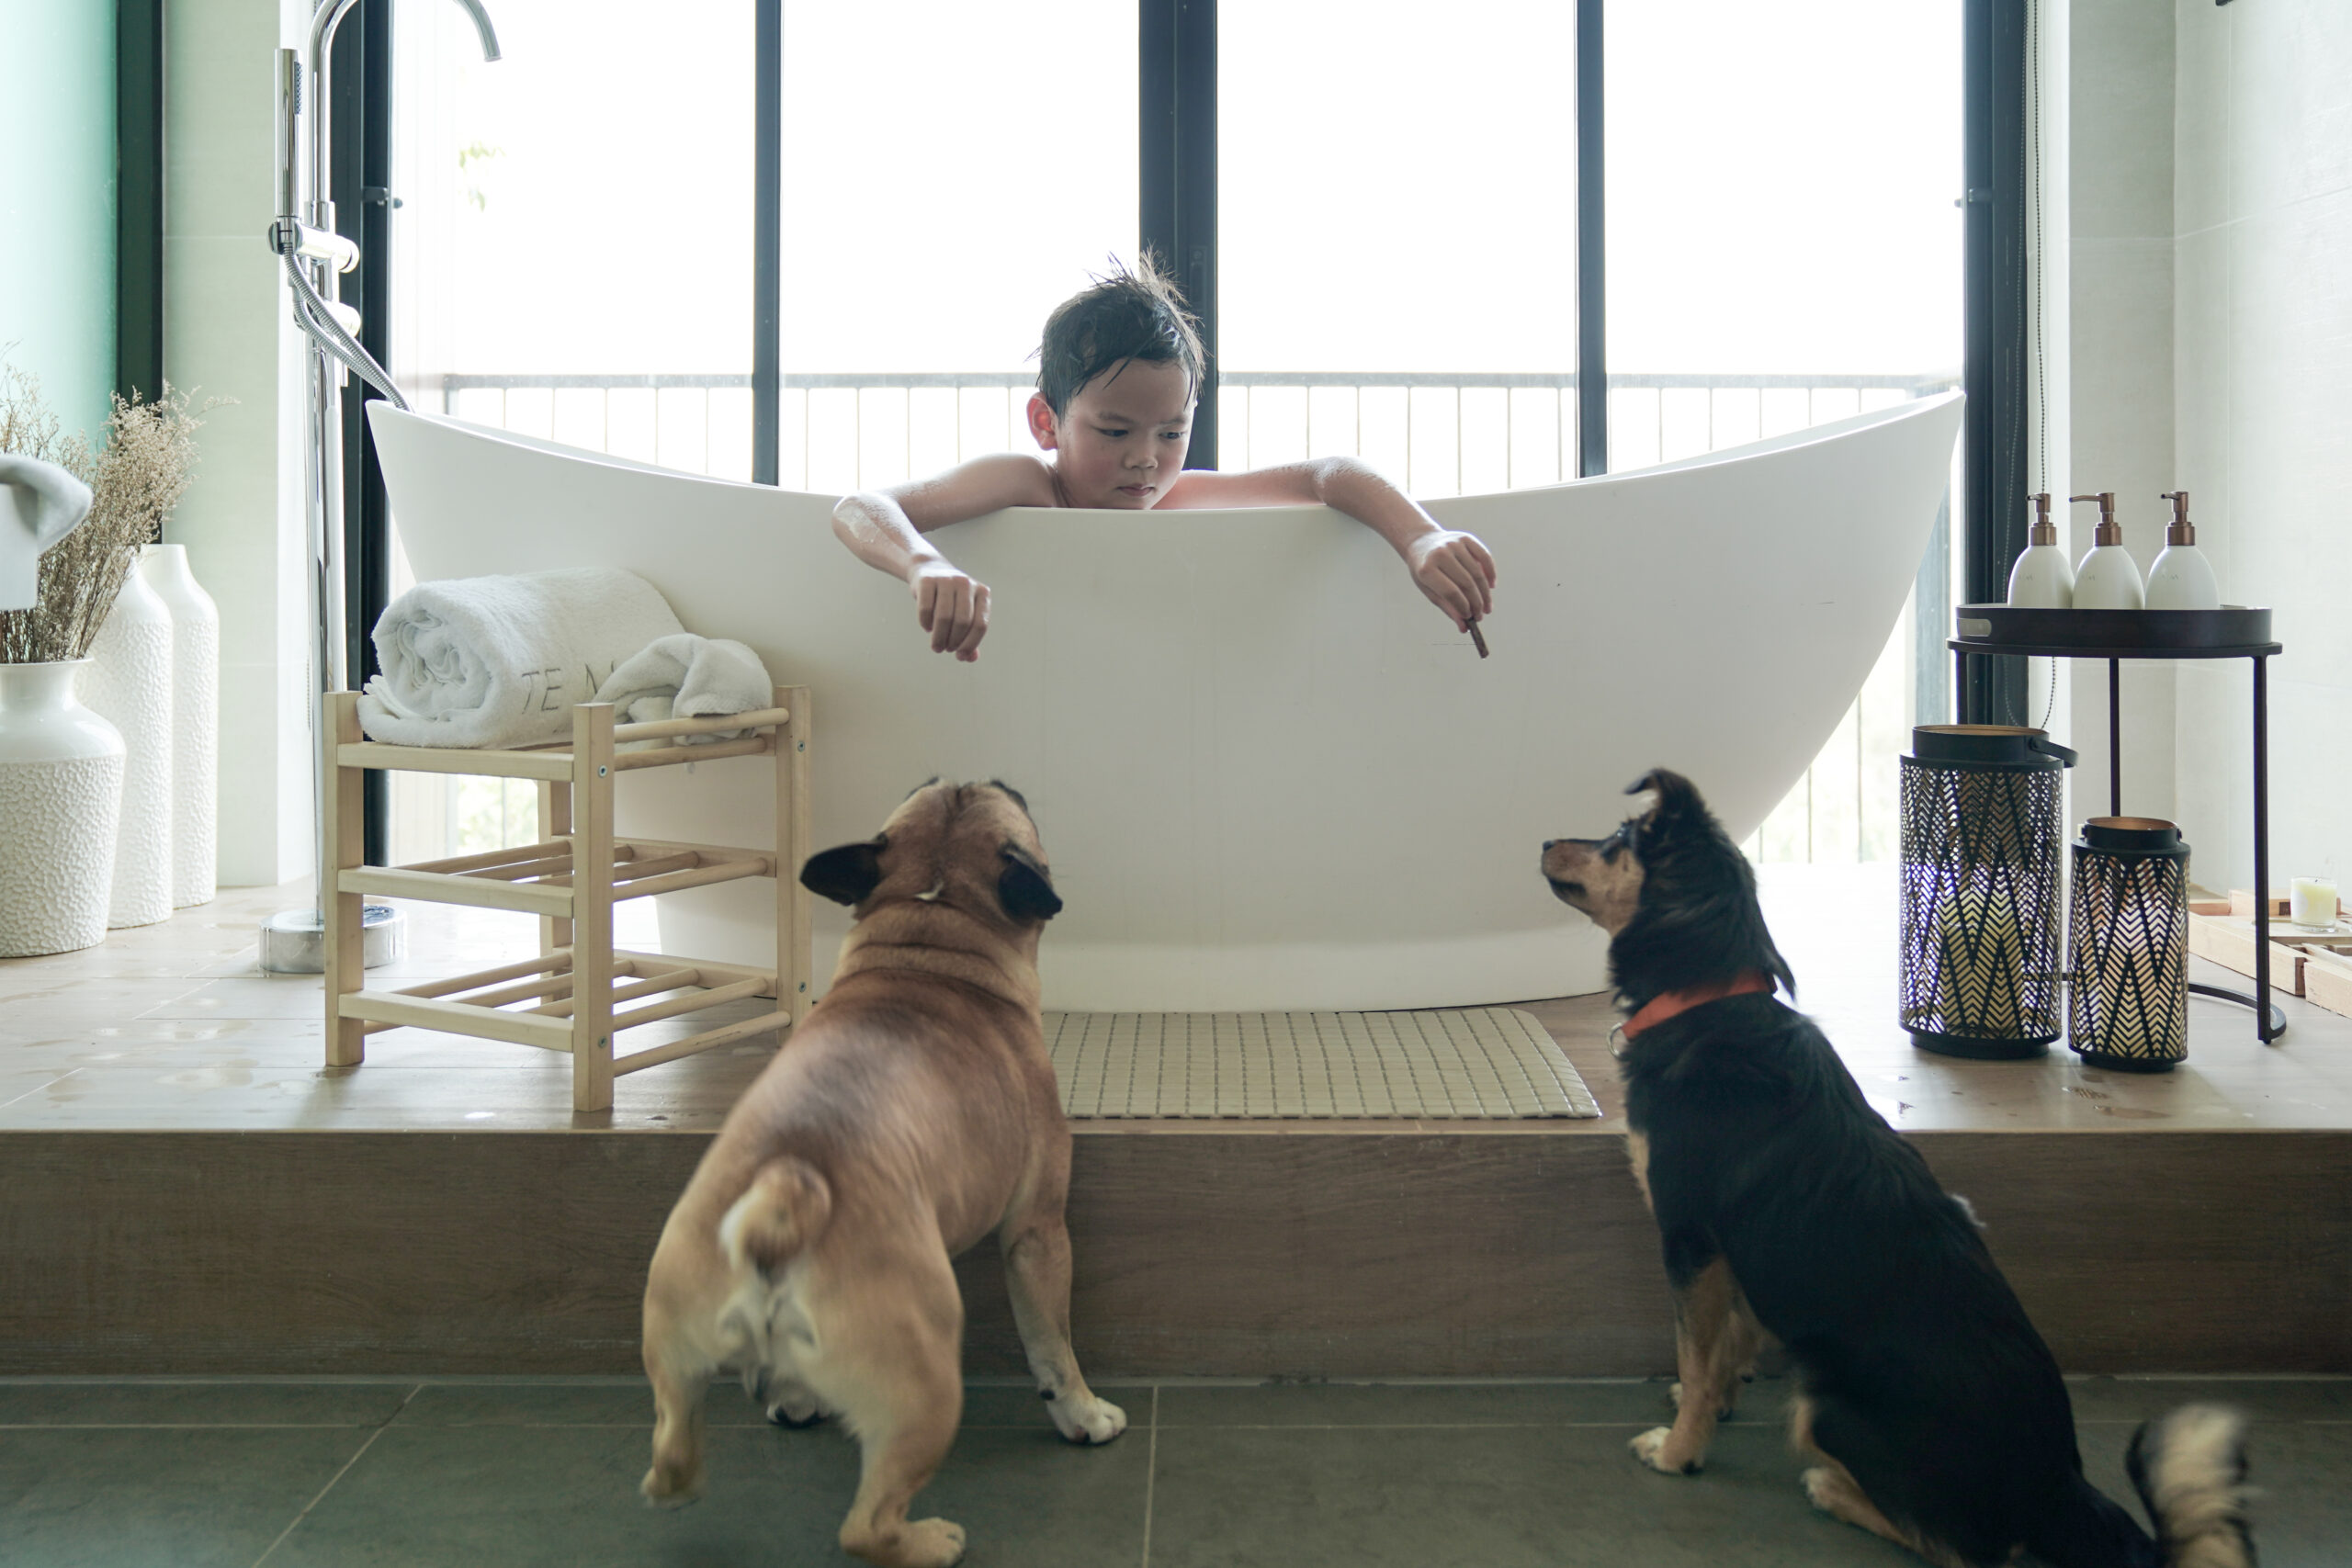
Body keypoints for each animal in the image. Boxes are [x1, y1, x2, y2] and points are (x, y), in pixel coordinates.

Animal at [639, 780, 1124, 1561]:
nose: (1007, 778)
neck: (929, 939)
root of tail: (781, 1209)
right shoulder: (1038, 1229)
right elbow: (1052, 1341)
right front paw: (1082, 1412)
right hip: (926, 1382)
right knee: (865, 1526)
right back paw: (933, 1540)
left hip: (675, 1344)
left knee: (672, 1458)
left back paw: (775, 1415)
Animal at [1533, 771, 2248, 1568]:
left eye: (1618, 840)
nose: (1544, 839)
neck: (1707, 1000)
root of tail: (2054, 1483)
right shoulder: (1732, 1250)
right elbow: (1726, 1342)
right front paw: (1718, 1399)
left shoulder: (1691, 1237)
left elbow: (1695, 1352)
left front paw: (1680, 1449)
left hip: (1826, 1405)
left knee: (1966, 1550)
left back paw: (1832, 1489)